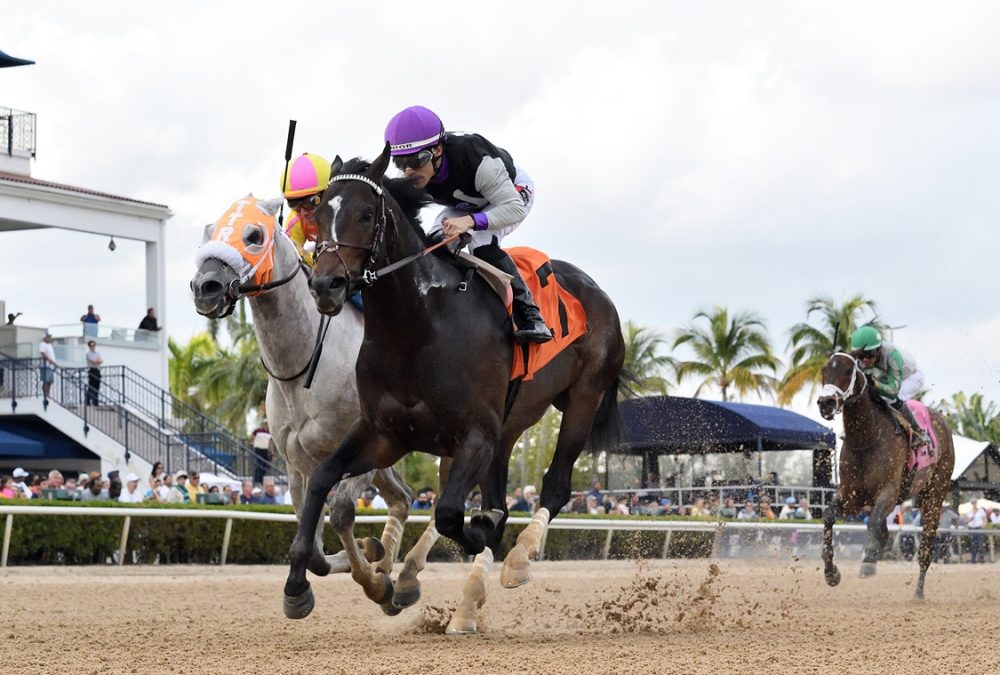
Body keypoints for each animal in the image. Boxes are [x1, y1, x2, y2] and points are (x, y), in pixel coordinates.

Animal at [284, 148, 624, 632]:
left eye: (366, 214)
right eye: (321, 214)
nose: (324, 285)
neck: (419, 327)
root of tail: (596, 291)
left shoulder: (474, 435)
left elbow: (449, 513)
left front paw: (470, 536)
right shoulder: (384, 434)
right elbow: (321, 482)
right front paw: (300, 585)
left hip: (583, 398)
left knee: (555, 487)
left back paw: (519, 559)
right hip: (510, 425)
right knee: (501, 497)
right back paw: (466, 607)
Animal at [816, 352, 956, 600]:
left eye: (847, 371)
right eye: (824, 371)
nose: (826, 403)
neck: (867, 439)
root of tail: (942, 422)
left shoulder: (888, 492)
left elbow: (872, 522)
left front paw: (869, 562)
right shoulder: (852, 496)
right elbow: (829, 516)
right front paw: (831, 573)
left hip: (935, 493)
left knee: (926, 546)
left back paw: (919, 592)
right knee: (885, 528)